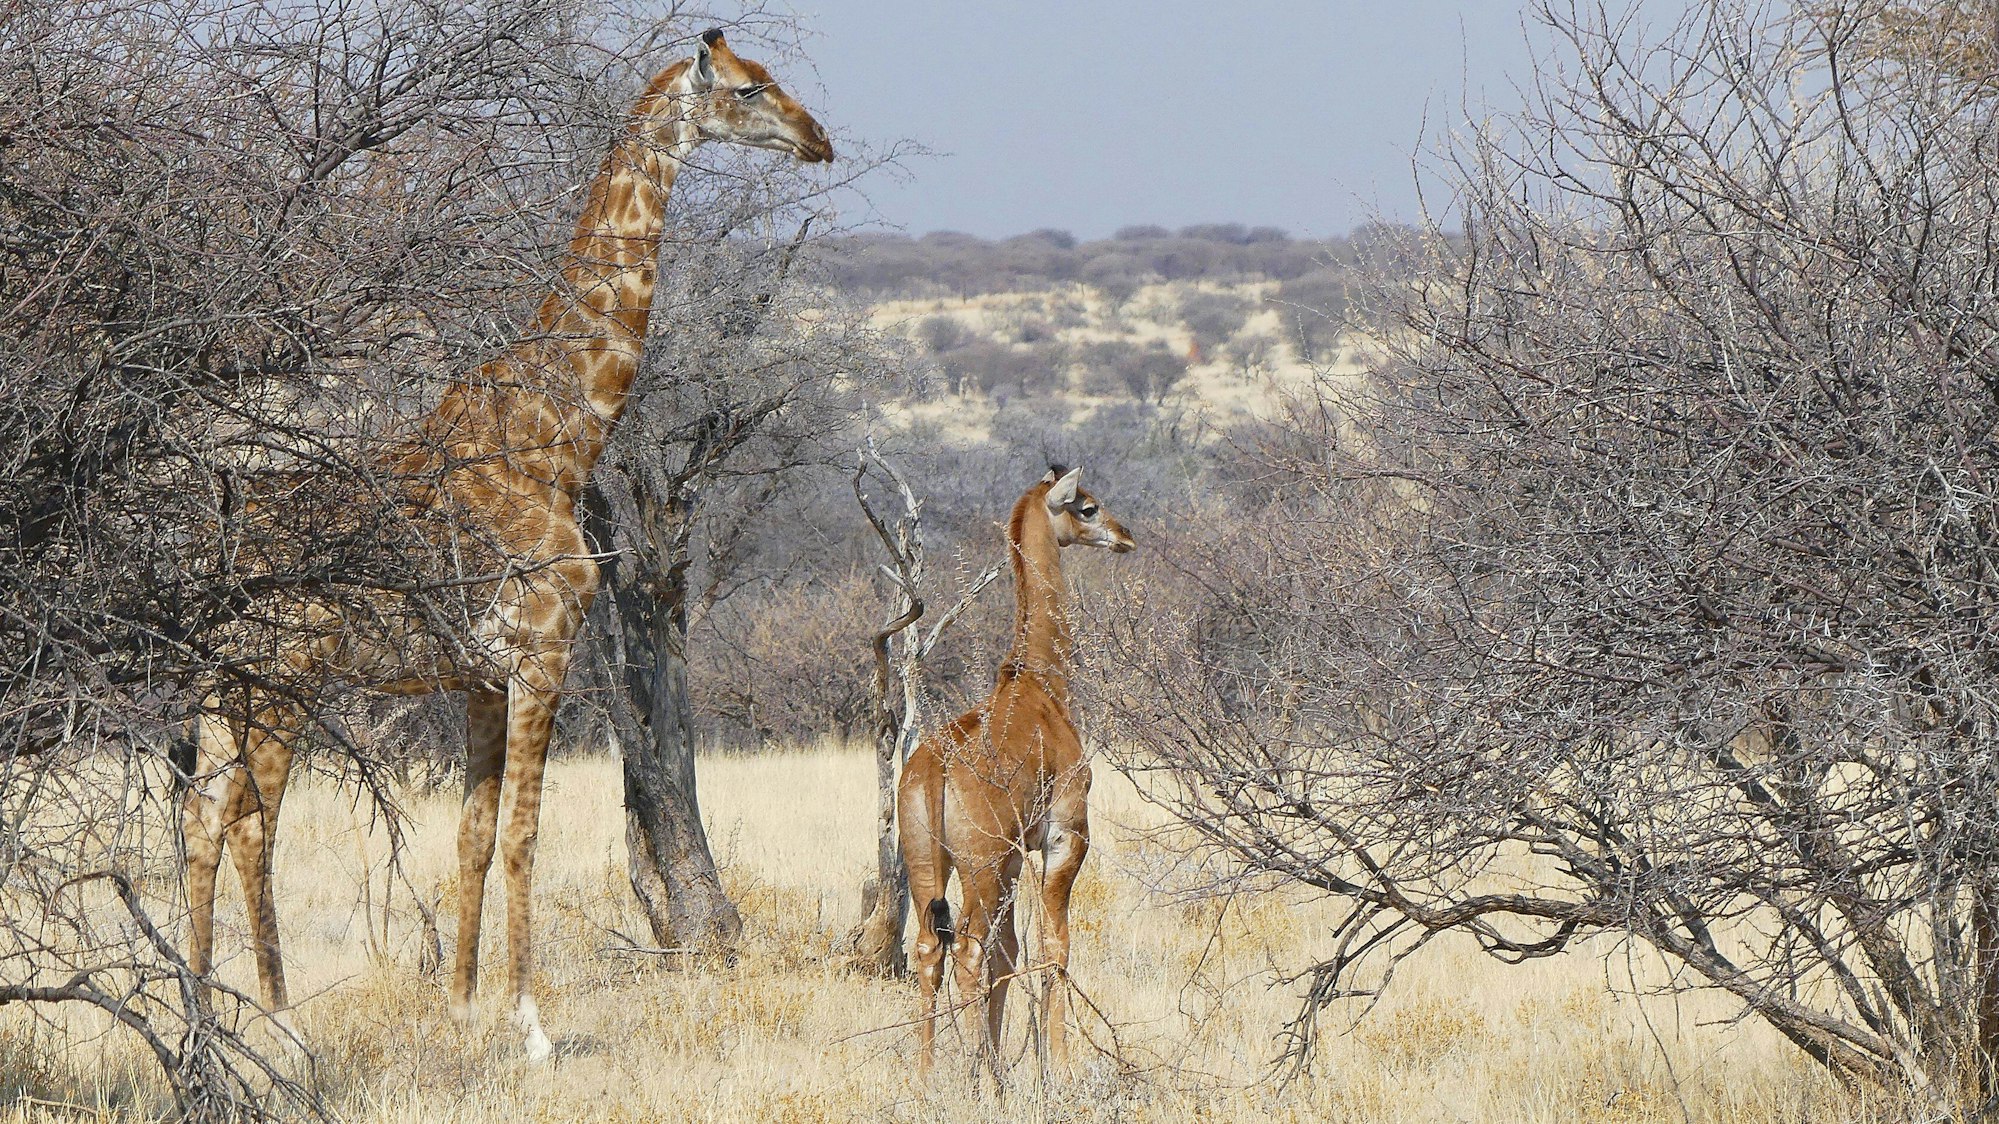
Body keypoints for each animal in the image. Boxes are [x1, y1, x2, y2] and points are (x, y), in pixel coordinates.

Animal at [181, 30, 831, 1062]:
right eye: (746, 89)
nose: (819, 141)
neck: (556, 437)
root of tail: (218, 546)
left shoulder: (483, 677)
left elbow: (473, 836)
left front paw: (460, 1011)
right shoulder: (543, 652)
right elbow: (526, 833)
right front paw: (531, 1027)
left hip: (223, 686)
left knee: (202, 819)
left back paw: (204, 1021)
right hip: (280, 680)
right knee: (247, 824)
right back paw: (281, 1029)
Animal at [898, 466, 1135, 1085]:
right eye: (1088, 507)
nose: (1125, 536)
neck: (1041, 683)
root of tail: (934, 771)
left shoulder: (1012, 857)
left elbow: (1010, 955)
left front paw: (1003, 1060)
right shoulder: (1063, 835)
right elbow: (1054, 946)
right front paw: (1059, 1067)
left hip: (930, 862)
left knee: (930, 950)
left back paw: (930, 1078)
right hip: (979, 866)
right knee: (967, 950)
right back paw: (974, 1076)